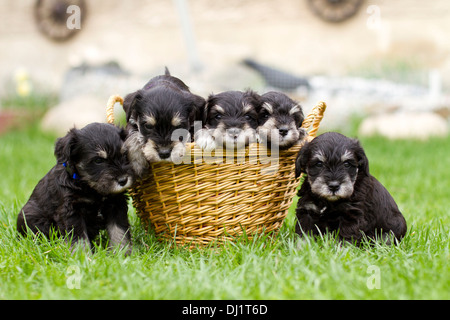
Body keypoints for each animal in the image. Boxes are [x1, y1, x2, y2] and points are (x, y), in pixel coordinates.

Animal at [16, 123, 135, 255]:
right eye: (98, 160)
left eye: (124, 154)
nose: (123, 180)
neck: (91, 188)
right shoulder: (71, 211)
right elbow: (79, 237)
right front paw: (83, 255)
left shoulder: (116, 205)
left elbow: (119, 231)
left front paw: (121, 252)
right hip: (30, 215)